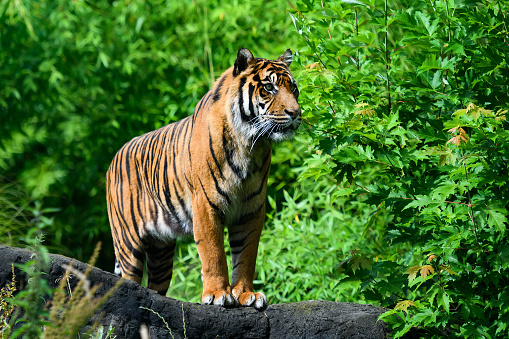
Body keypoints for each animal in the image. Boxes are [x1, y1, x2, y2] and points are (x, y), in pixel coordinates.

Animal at [105, 47, 300, 310]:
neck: (250, 143)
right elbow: (213, 252)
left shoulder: (251, 209)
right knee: (128, 279)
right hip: (128, 244)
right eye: (269, 87)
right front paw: (218, 294)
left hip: (161, 252)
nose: (295, 113)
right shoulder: (206, 205)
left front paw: (246, 294)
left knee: (155, 286)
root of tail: (114, 157)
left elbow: (247, 254)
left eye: (294, 89)